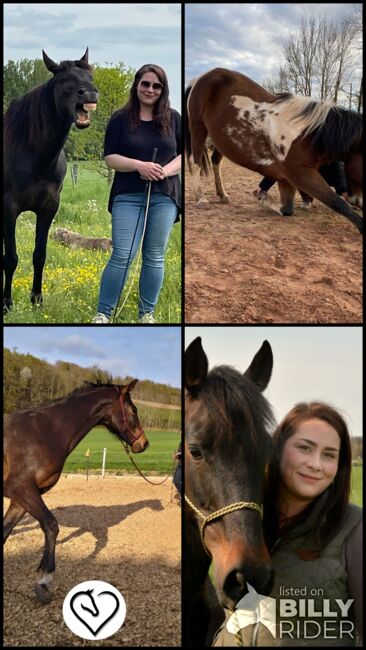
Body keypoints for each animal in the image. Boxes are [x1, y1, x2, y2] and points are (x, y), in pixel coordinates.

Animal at [3, 46, 100, 310]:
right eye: (64, 80)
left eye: (90, 76)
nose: (90, 95)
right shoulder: (9, 208)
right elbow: (10, 258)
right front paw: (7, 304)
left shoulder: (49, 208)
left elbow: (40, 255)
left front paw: (37, 300)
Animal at [3, 380, 148, 604]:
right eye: (134, 410)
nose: (144, 443)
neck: (44, 431)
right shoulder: (21, 489)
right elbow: (51, 525)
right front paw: (44, 582)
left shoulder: (20, 500)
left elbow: (5, 531)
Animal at [186, 66, 364, 232]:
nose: (356, 200)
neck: (307, 135)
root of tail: (199, 79)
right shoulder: (301, 175)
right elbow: (337, 202)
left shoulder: (286, 179)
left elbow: (287, 209)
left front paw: (264, 199)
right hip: (197, 126)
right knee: (195, 162)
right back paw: (201, 198)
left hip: (219, 139)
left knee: (216, 162)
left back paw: (222, 195)